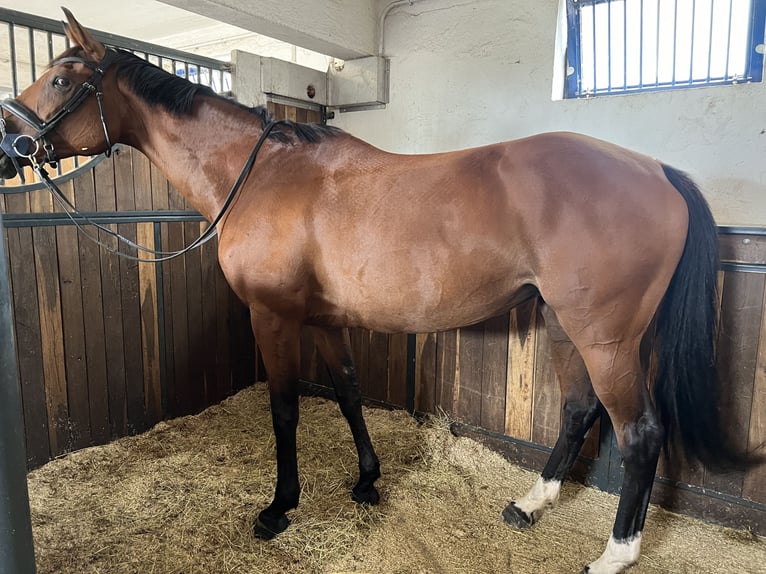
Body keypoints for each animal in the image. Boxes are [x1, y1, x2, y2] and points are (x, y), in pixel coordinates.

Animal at [0, 10, 756, 574]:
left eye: (62, 77)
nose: (11, 144)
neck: (261, 174)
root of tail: (655, 170)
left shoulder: (273, 317)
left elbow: (284, 410)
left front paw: (280, 507)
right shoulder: (324, 318)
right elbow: (347, 390)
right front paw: (366, 479)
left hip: (605, 338)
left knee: (640, 433)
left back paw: (614, 553)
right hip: (565, 326)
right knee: (577, 411)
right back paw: (529, 504)